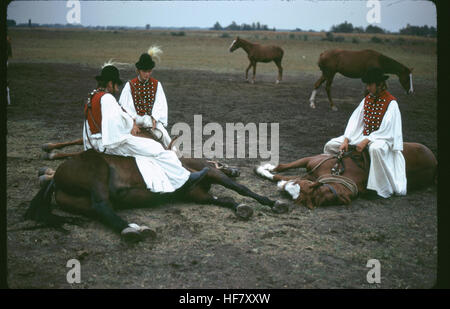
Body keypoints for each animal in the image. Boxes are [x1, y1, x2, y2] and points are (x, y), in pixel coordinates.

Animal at [256, 143, 436, 209]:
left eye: (295, 194)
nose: (282, 189)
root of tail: (434, 161)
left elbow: (280, 176)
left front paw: (265, 171)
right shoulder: (312, 161)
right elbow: (283, 167)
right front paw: (265, 168)